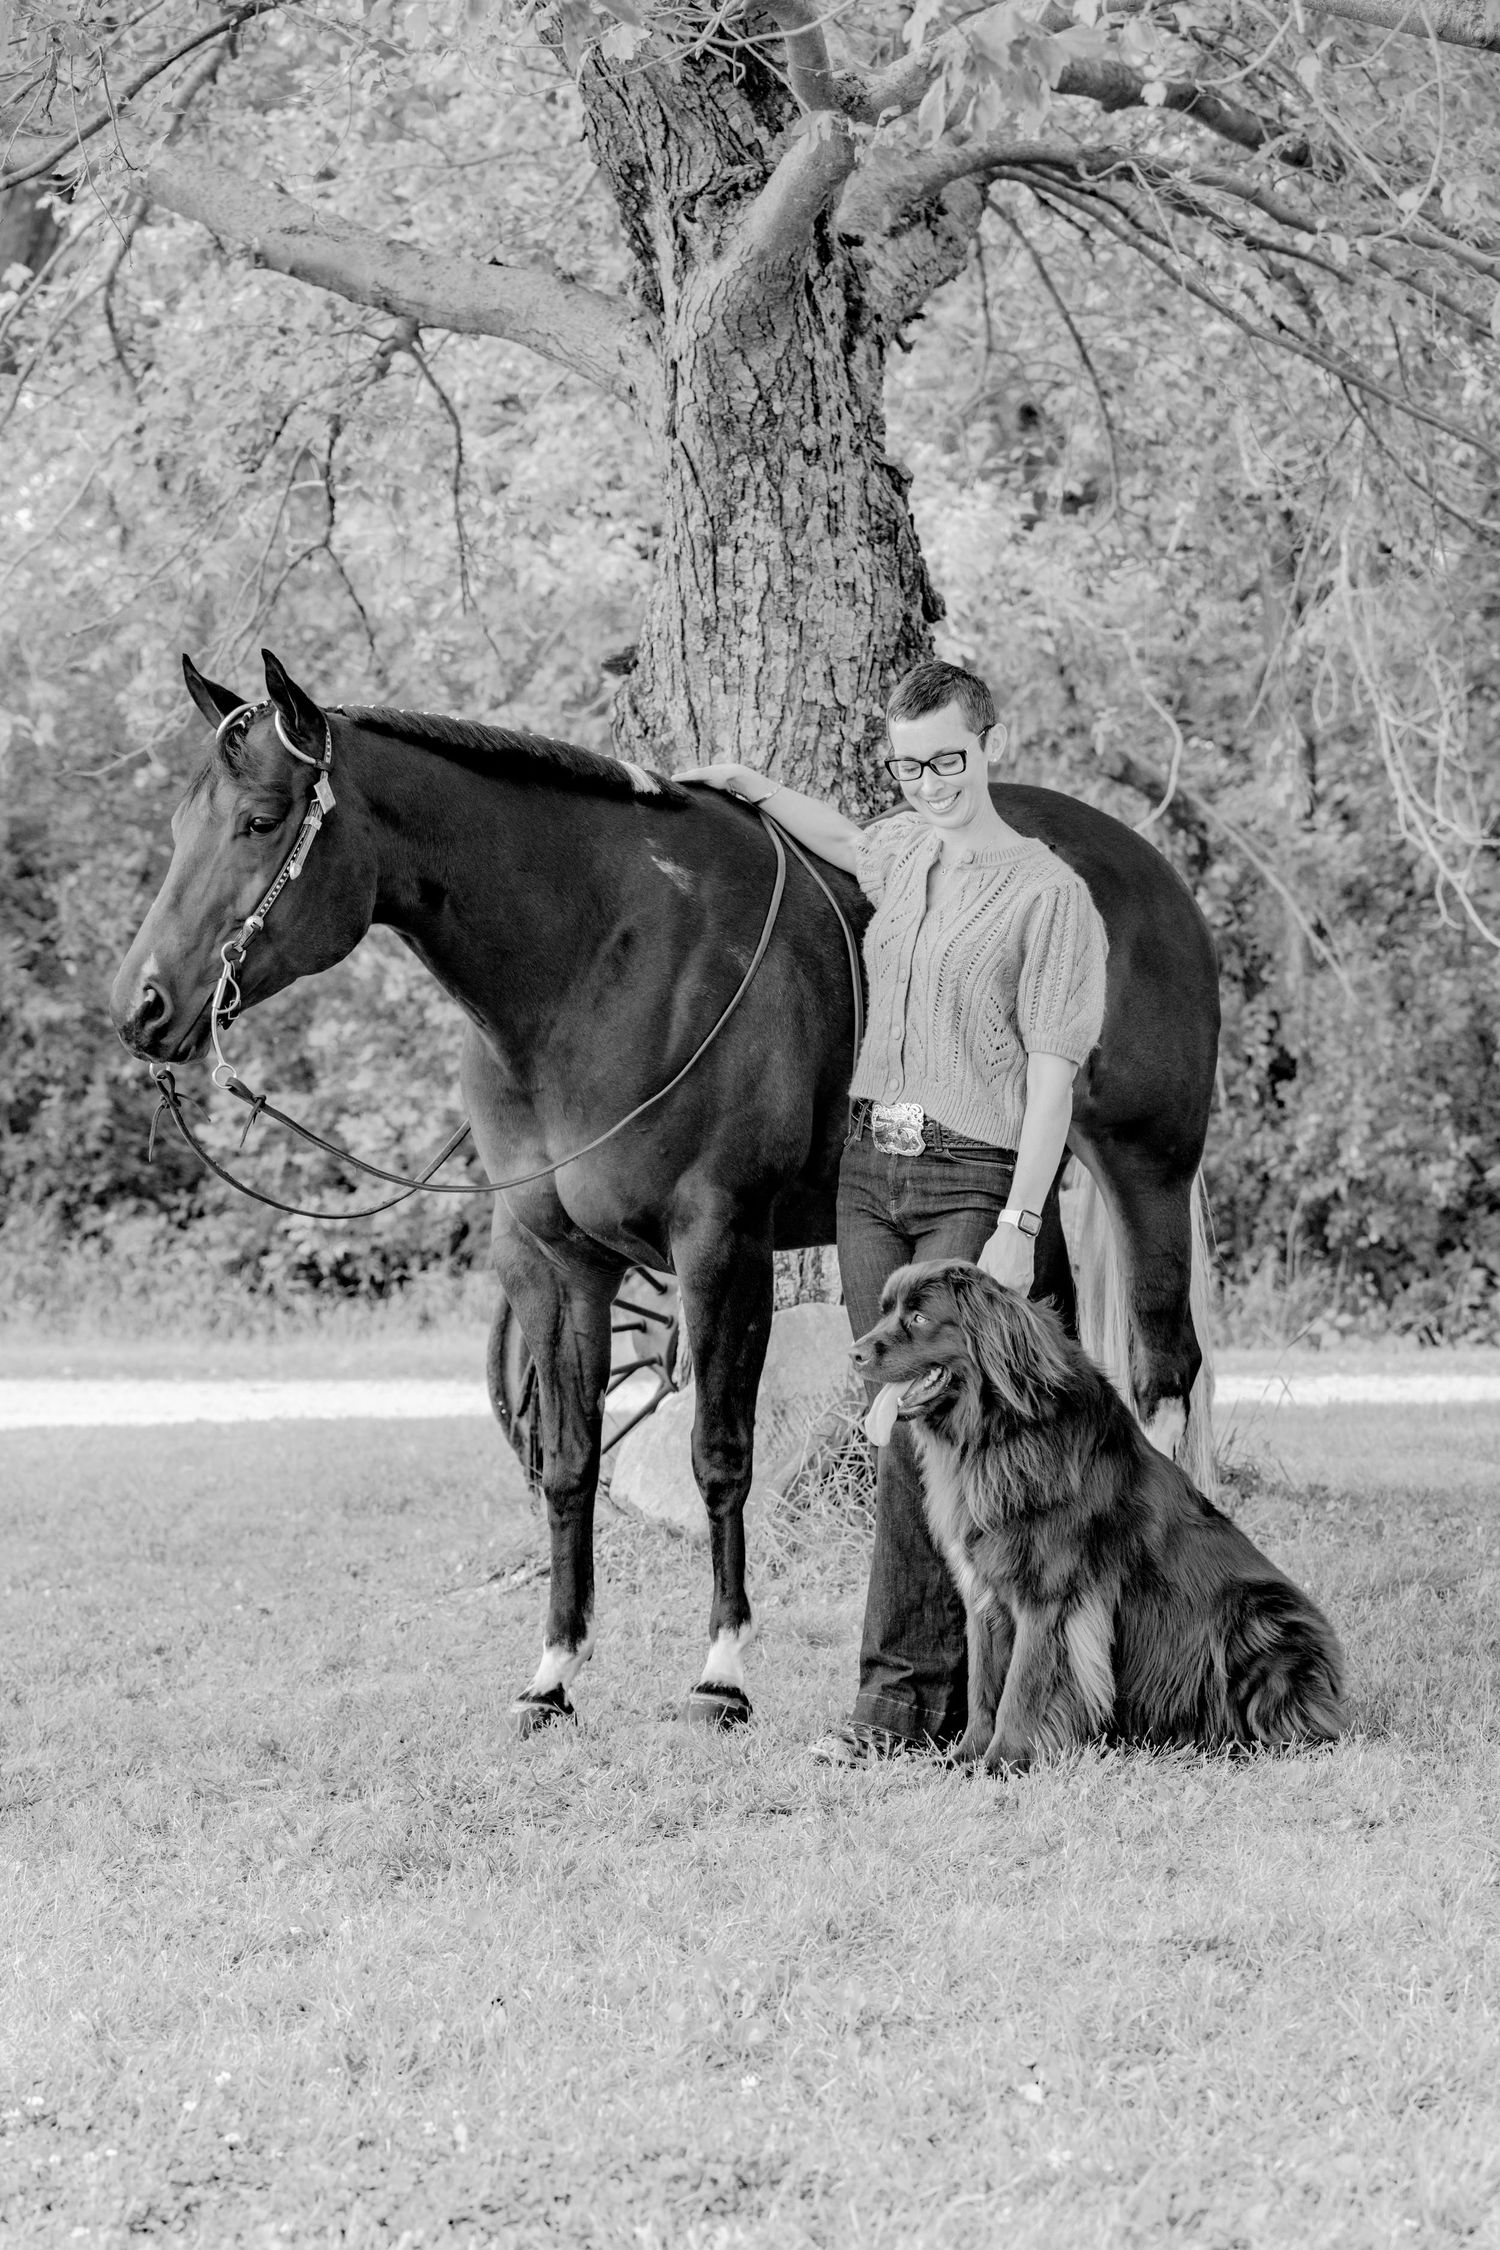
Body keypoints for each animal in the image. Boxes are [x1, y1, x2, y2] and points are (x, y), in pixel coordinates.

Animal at [109, 650, 1220, 1734]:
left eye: (262, 821)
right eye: (177, 826)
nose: (143, 1006)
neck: (602, 961)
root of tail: (1140, 867)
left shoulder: (720, 1243)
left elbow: (718, 1452)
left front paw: (722, 1674)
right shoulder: (552, 1263)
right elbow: (566, 1461)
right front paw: (554, 1675)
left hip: (1146, 1174)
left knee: (1166, 1372)